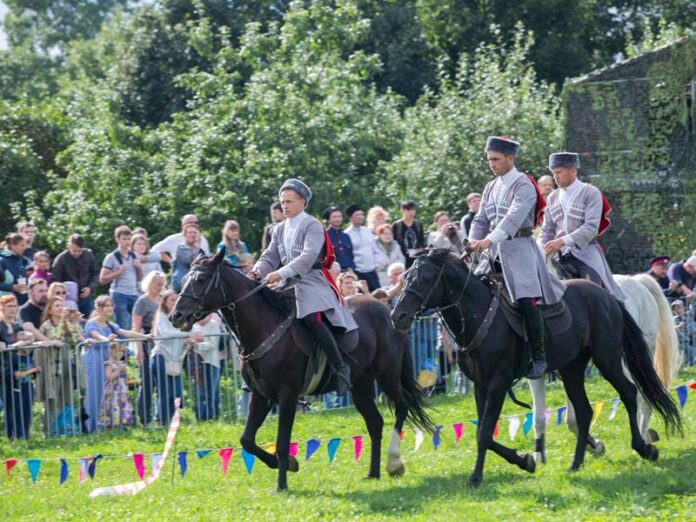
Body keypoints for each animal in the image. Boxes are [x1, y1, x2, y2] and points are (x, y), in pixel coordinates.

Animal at [171, 248, 432, 488]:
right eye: (184, 281)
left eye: (201, 279)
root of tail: (387, 310)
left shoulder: (287, 395)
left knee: (402, 406)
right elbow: (247, 440)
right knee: (375, 422)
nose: (176, 315)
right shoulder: (260, 396)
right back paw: (373, 472)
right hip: (360, 385)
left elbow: (281, 440)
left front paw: (282, 483)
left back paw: (394, 463)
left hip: (387, 375)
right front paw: (288, 463)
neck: (264, 326)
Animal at [532, 270, 676, 462]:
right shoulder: (543, 374)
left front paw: (591, 446)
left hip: (632, 359)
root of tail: (638, 280)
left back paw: (643, 437)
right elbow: (543, 417)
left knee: (642, 394)